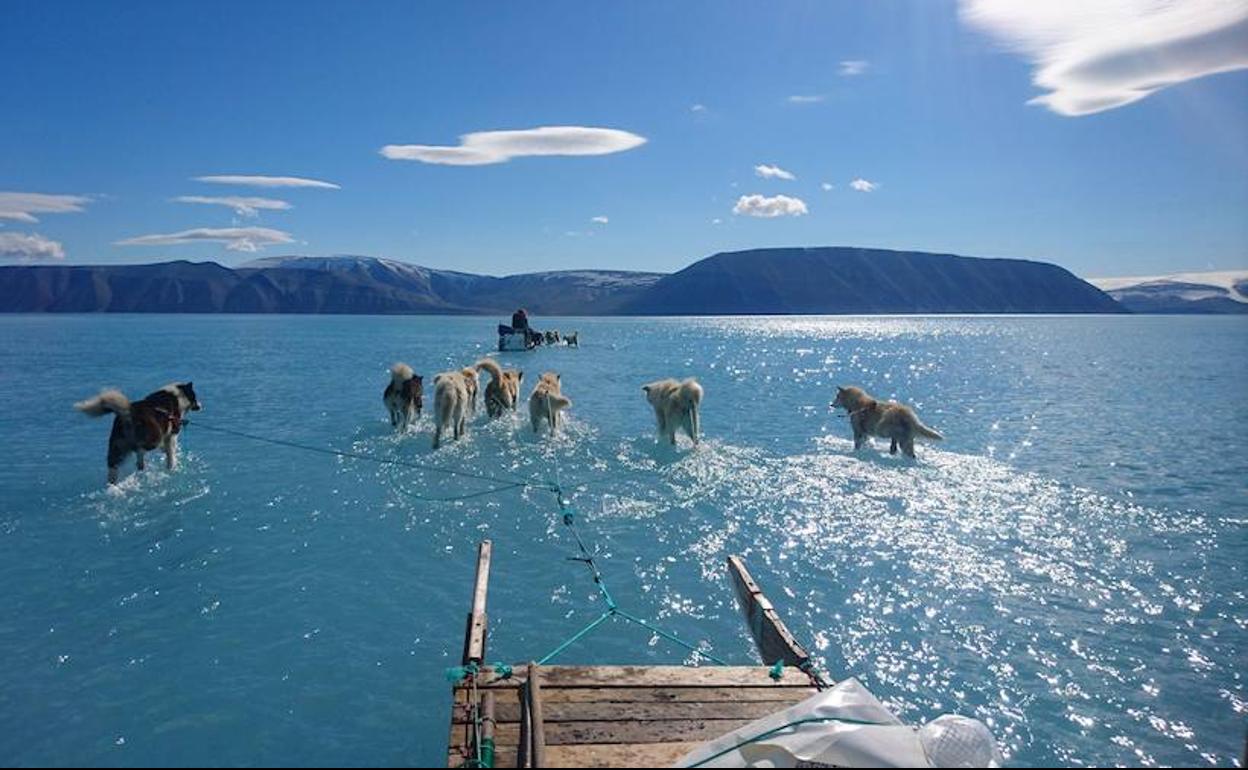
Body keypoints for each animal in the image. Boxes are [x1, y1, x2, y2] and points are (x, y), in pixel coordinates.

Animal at [74, 381, 202, 484]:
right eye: (195, 397)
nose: (201, 406)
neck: (178, 396)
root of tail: (127, 413)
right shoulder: (172, 434)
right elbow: (171, 453)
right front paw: (171, 466)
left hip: (116, 445)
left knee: (113, 465)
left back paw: (113, 482)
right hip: (154, 436)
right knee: (141, 449)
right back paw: (140, 462)